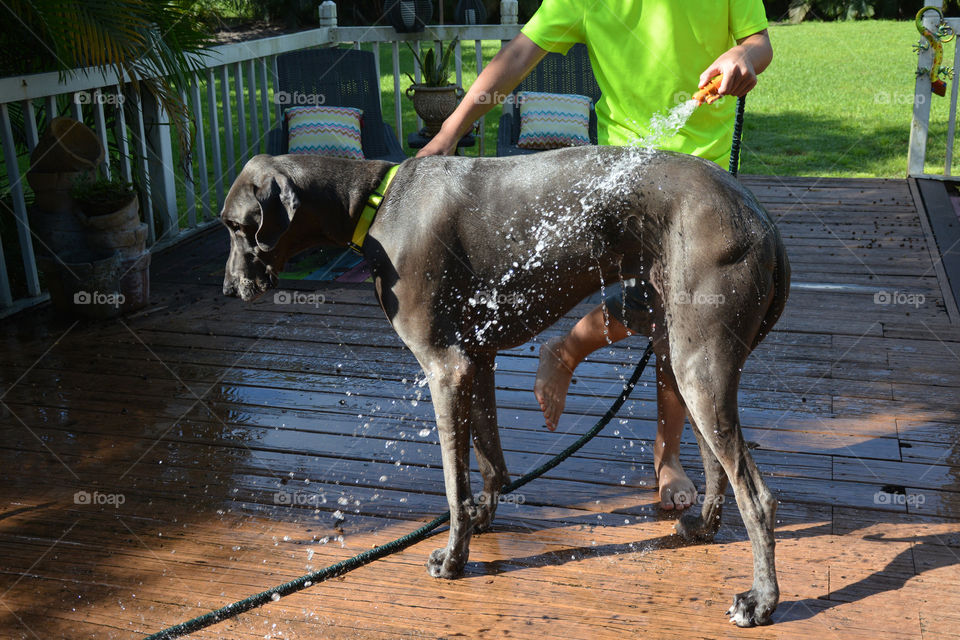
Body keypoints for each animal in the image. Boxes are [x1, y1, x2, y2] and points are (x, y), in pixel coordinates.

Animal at [221, 145, 792, 624]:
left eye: (235, 226)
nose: (227, 289)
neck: (375, 206)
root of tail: (761, 217)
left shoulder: (445, 368)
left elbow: (454, 484)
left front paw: (453, 559)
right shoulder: (479, 360)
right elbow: (489, 459)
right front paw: (483, 520)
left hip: (699, 365)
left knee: (757, 496)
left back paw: (760, 600)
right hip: (678, 352)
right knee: (718, 469)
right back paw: (702, 529)